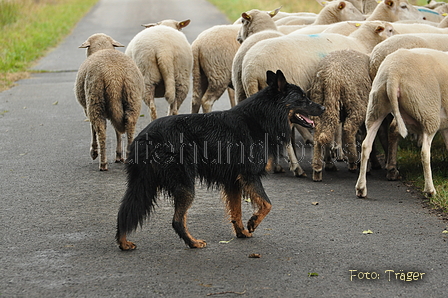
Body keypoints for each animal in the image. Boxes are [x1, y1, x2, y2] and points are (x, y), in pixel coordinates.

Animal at [74, 33, 143, 171]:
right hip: (132, 97)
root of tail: (114, 77)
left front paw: (94, 151)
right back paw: (128, 157)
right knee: (129, 125)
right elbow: (117, 131)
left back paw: (103, 162)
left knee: (100, 129)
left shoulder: (87, 108)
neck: (102, 48)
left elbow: (93, 128)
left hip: (95, 99)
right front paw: (118, 155)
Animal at [117, 71, 324, 250]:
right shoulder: (249, 176)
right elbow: (267, 204)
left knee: (125, 211)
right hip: (184, 186)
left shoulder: (234, 181)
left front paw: (241, 232)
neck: (262, 117)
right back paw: (193, 243)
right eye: (302, 98)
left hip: (143, 184)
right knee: (177, 220)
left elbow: (237, 211)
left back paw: (123, 242)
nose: (323, 107)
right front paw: (253, 222)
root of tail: (145, 137)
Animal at [358, 48, 448, 198]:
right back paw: (430, 190)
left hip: (376, 105)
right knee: (425, 152)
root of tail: (393, 74)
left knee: (366, 146)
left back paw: (361, 188)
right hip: (427, 111)